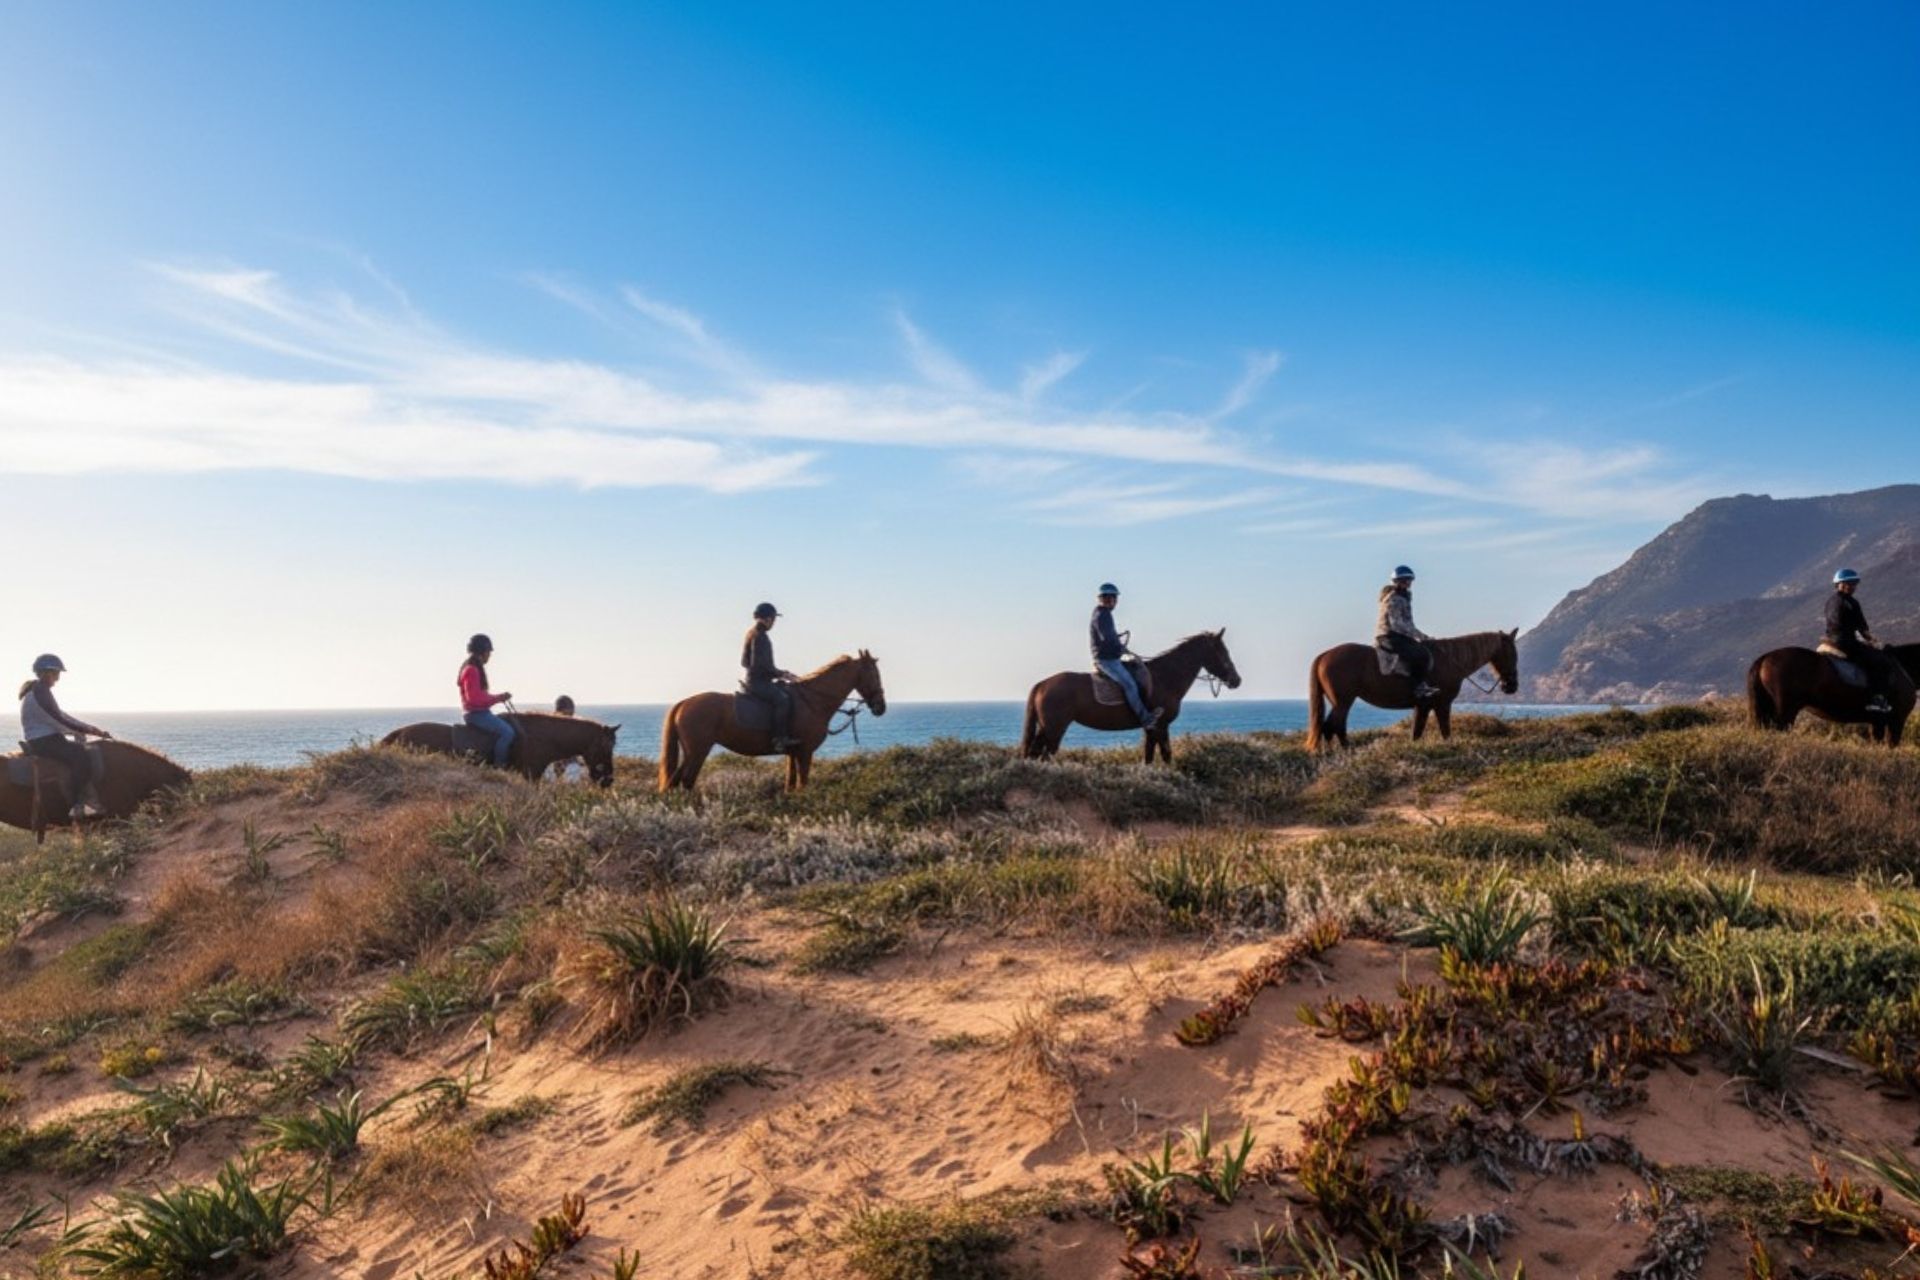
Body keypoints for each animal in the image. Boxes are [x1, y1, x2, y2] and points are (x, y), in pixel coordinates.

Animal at [659, 650, 887, 792]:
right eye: (874, 674)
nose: (881, 707)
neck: (812, 700)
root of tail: (683, 703)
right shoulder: (805, 752)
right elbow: (802, 783)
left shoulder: (793, 753)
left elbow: (791, 784)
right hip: (697, 751)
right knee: (685, 780)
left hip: (693, 752)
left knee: (676, 781)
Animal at [1021, 630, 1242, 765]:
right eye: (1222, 651)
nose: (1236, 680)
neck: (1164, 677)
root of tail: (1042, 684)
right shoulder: (1161, 725)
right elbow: (1166, 755)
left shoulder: (1152, 728)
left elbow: (1149, 756)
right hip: (1054, 728)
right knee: (1043, 754)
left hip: (1047, 728)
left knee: (1035, 752)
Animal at [1306, 629, 1519, 751]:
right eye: (1511, 653)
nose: (1511, 686)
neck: (1449, 660)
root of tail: (1325, 655)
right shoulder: (1441, 704)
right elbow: (1445, 731)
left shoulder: (1423, 706)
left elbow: (1417, 732)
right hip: (1343, 701)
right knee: (1332, 726)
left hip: (1341, 702)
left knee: (1333, 726)